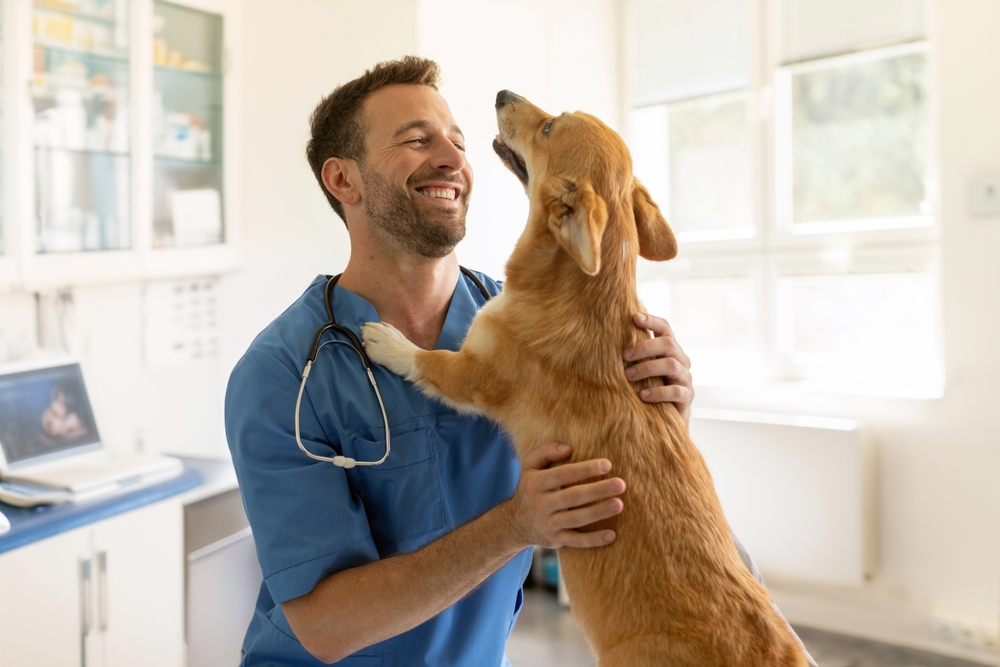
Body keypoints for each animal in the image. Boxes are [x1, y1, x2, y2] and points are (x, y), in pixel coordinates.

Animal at [362, 90, 812, 667]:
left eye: (550, 127)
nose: (501, 93)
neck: (584, 288)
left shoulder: (474, 374)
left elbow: (429, 359)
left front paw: (386, 340)